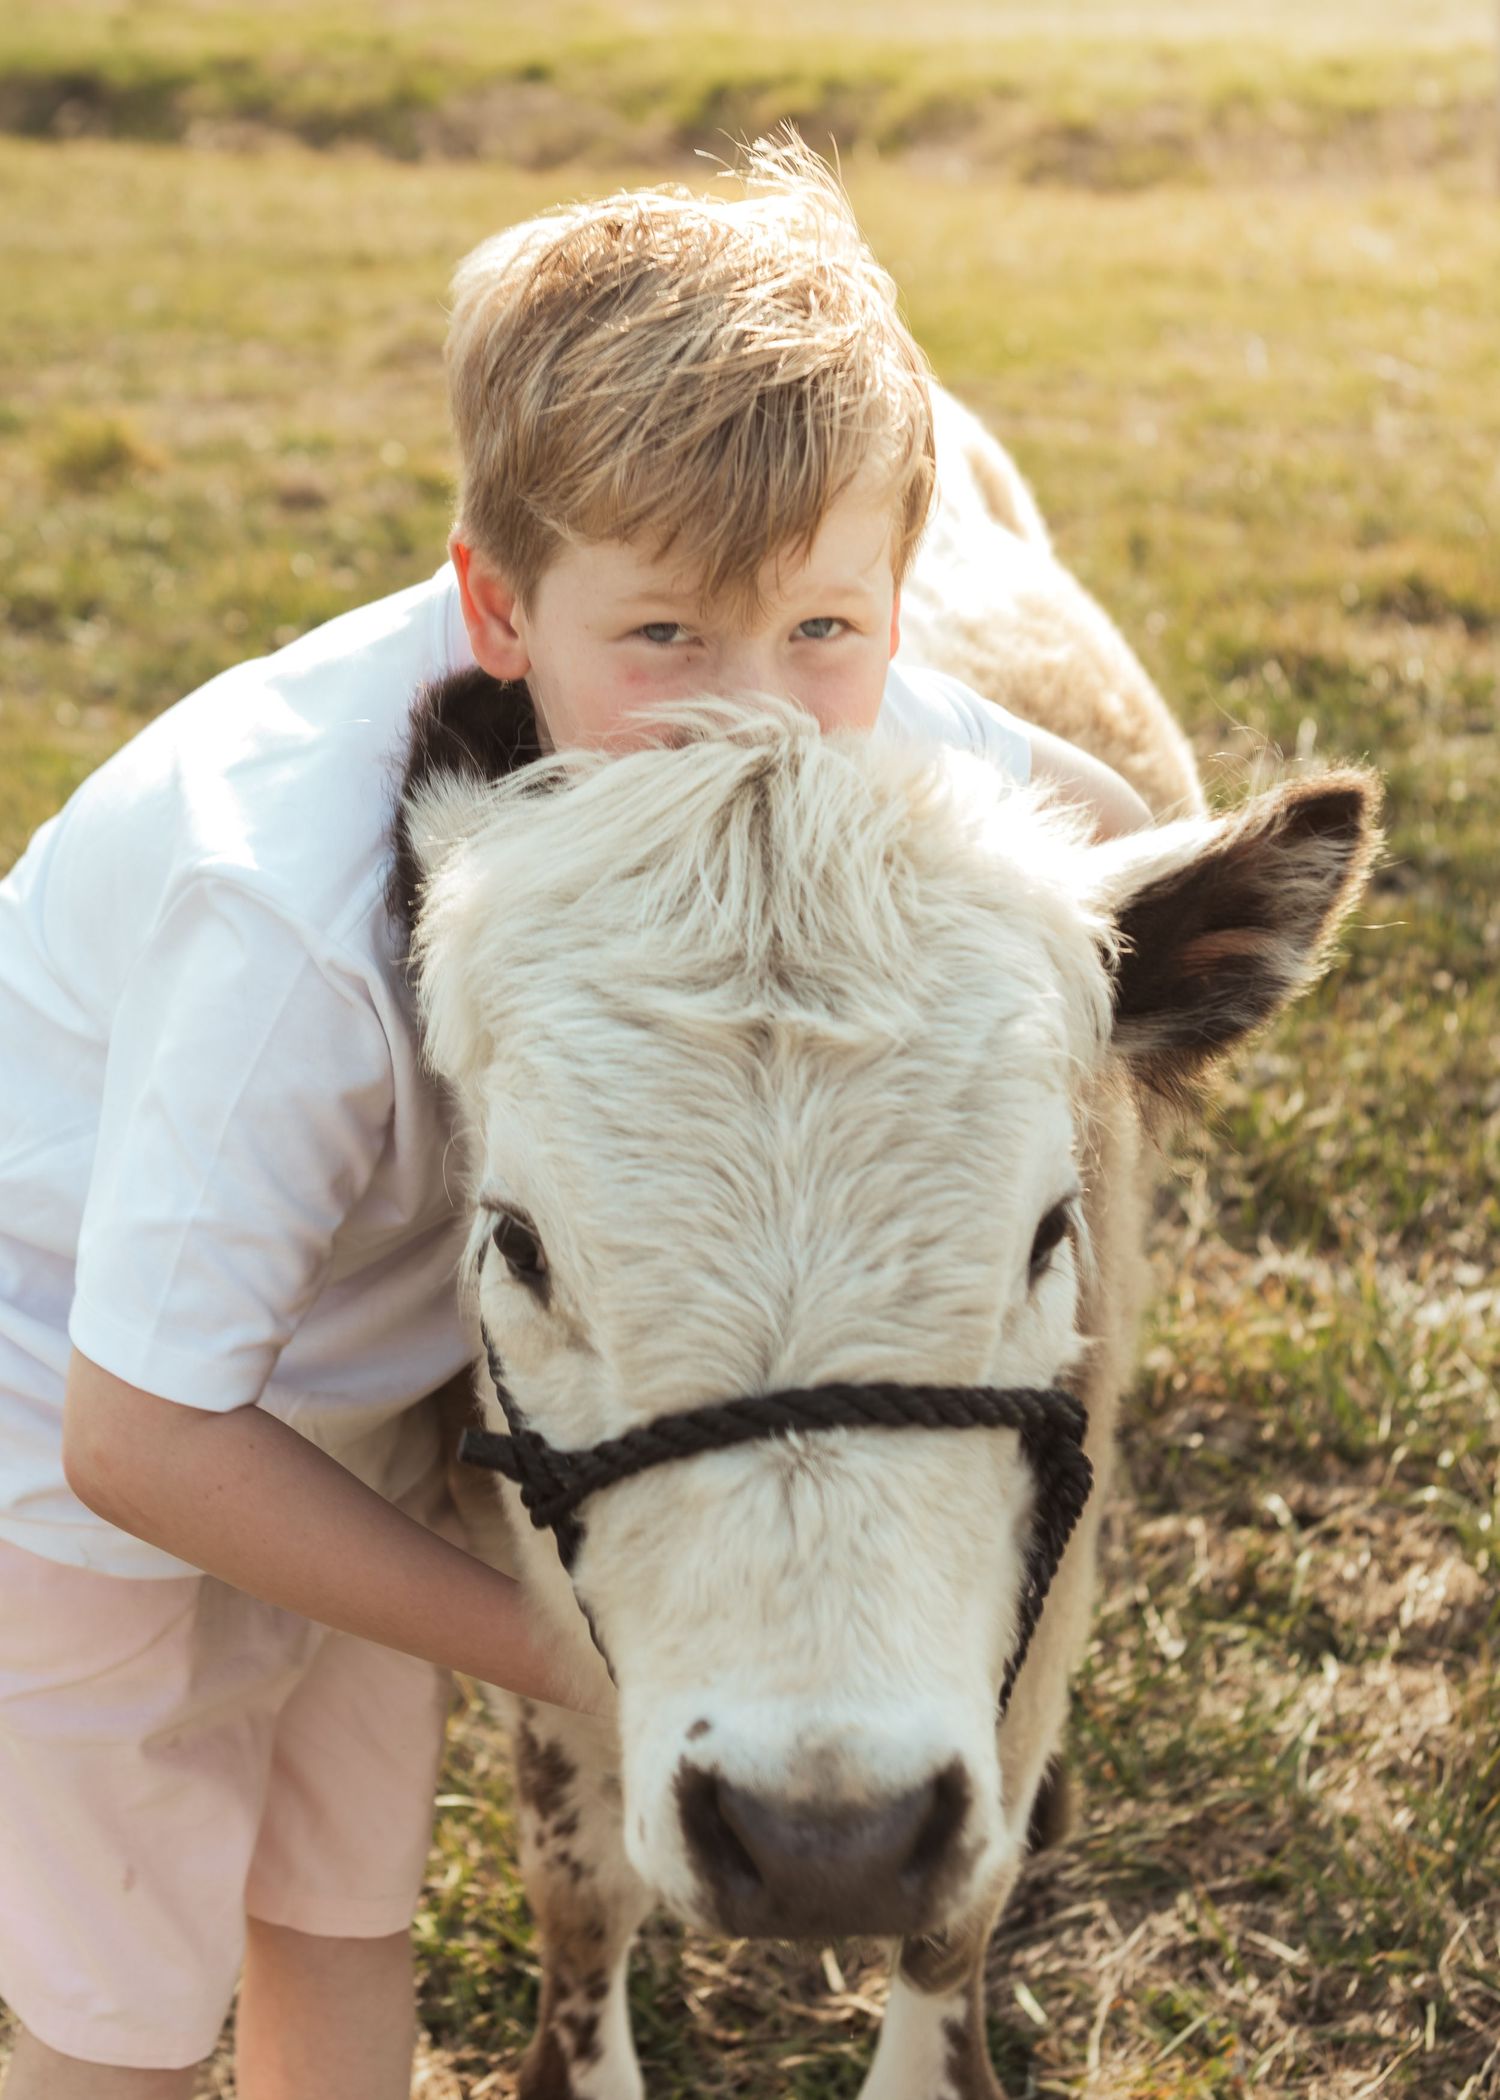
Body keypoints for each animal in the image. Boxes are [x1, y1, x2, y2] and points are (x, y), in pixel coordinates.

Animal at [392, 388, 1378, 2100]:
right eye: (515, 1243)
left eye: (1052, 1230)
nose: (820, 1844)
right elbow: (578, 1885)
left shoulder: (1047, 1598)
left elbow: (955, 1922)